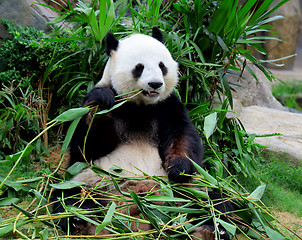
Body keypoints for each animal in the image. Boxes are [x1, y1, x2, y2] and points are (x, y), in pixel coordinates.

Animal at [52, 27, 231, 239]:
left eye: (162, 66)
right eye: (139, 67)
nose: (155, 84)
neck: (141, 106)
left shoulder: (168, 106)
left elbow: (182, 135)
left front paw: (178, 167)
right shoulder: (107, 102)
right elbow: (87, 145)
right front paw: (102, 101)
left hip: (190, 190)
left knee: (215, 202)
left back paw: (210, 229)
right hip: (94, 181)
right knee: (69, 198)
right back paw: (80, 221)